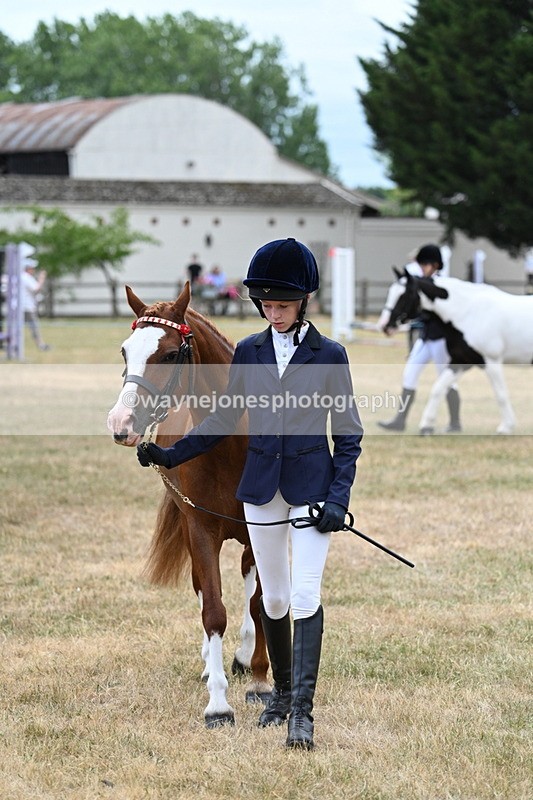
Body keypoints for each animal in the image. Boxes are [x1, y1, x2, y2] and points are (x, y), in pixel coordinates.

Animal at [107, 283, 270, 727]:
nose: (120, 423)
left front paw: (260, 682)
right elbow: (212, 609)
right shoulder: (199, 529)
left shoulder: (264, 530)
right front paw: (218, 704)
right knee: (202, 587)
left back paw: (245, 657)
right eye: (125, 351)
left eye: (168, 354)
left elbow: (260, 603)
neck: (232, 445)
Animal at [382, 270, 533, 434]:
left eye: (405, 295)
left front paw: (506, 427)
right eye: (390, 292)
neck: (468, 313)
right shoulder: (461, 362)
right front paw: (426, 426)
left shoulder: (491, 361)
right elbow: (438, 388)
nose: (385, 325)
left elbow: (501, 394)